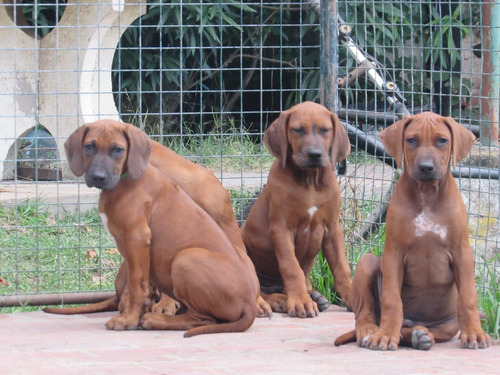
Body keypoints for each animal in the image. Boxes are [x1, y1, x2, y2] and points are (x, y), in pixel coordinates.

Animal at [45, 119, 272, 318]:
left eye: (117, 151)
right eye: (89, 147)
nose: (97, 177)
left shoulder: (226, 225)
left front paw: (258, 301)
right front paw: (163, 303)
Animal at [241, 101, 352, 318]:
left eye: (325, 130)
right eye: (298, 130)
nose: (315, 155)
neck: (310, 181)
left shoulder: (333, 228)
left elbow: (342, 267)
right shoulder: (281, 229)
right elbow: (291, 267)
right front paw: (300, 301)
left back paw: (314, 296)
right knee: (260, 292)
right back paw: (279, 301)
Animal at [334, 112, 490, 352]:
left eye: (442, 140)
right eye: (411, 140)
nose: (426, 167)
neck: (426, 194)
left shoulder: (462, 253)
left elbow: (469, 297)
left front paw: (475, 333)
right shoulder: (393, 254)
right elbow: (392, 300)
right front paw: (385, 335)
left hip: (448, 325)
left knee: (416, 332)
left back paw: (419, 335)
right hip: (367, 262)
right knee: (364, 314)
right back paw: (372, 332)